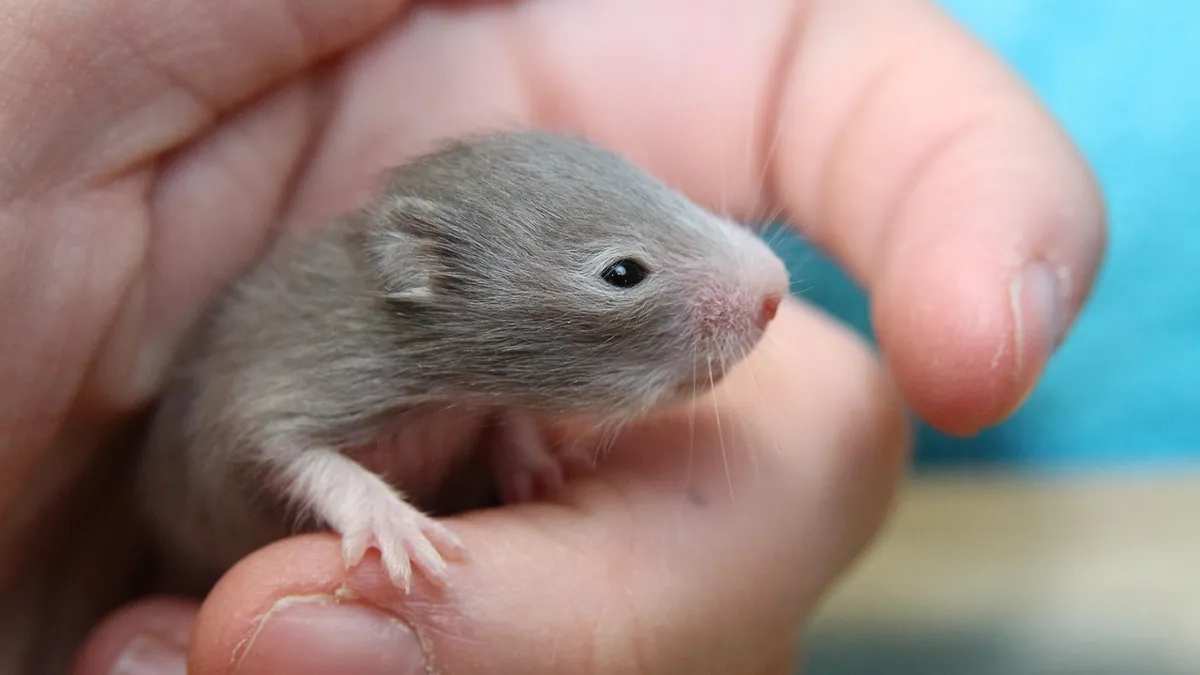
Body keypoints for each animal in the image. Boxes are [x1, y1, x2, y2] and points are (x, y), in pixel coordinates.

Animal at [134, 129, 790, 593]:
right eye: (623, 273)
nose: (777, 287)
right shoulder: (309, 374)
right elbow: (287, 449)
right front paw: (388, 520)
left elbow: (505, 421)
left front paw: (538, 465)